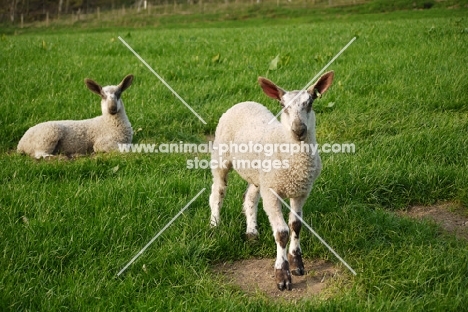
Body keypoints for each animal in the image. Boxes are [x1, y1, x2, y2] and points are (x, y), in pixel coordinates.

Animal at [210, 70, 334, 290]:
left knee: (250, 197)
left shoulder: (301, 191)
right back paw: (215, 224)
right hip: (221, 156)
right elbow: (282, 233)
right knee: (218, 190)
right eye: (283, 106)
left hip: (259, 175)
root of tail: (244, 102)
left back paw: (252, 232)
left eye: (310, 103)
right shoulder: (272, 193)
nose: (299, 130)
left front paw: (297, 263)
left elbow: (296, 225)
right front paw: (282, 275)